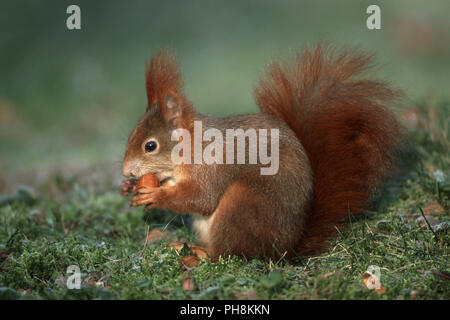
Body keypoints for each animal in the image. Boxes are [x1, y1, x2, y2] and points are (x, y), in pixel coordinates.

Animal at [118, 44, 400, 260]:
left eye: (150, 146)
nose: (126, 171)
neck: (194, 146)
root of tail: (285, 250)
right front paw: (130, 188)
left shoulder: (213, 166)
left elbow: (201, 198)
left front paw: (155, 195)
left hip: (242, 204)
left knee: (227, 254)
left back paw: (200, 255)